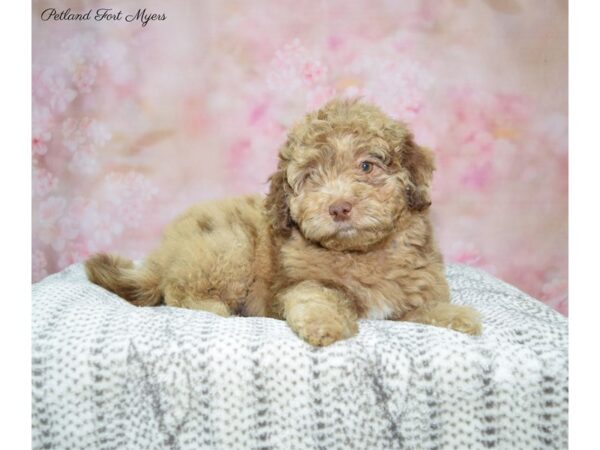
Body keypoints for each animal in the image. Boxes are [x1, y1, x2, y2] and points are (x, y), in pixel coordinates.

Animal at [85, 97, 482, 344]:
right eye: (311, 178)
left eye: (367, 166)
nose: (338, 208)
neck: (360, 253)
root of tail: (163, 253)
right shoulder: (297, 282)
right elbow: (318, 294)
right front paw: (325, 323)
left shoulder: (415, 289)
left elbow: (422, 308)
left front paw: (455, 316)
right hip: (228, 246)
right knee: (177, 291)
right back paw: (215, 308)